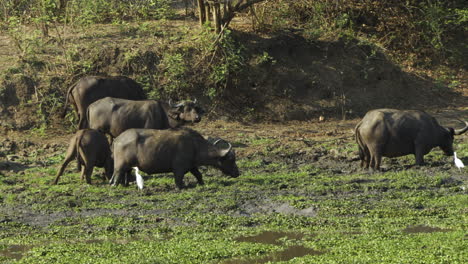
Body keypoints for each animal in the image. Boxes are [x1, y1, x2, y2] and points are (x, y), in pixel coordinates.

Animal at [109, 127, 239, 188]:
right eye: (231, 160)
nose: (238, 173)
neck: (195, 145)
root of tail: (117, 139)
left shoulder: (192, 166)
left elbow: (199, 175)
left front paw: (202, 184)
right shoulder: (179, 169)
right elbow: (178, 180)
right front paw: (180, 188)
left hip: (128, 167)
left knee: (124, 175)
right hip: (120, 166)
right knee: (117, 177)